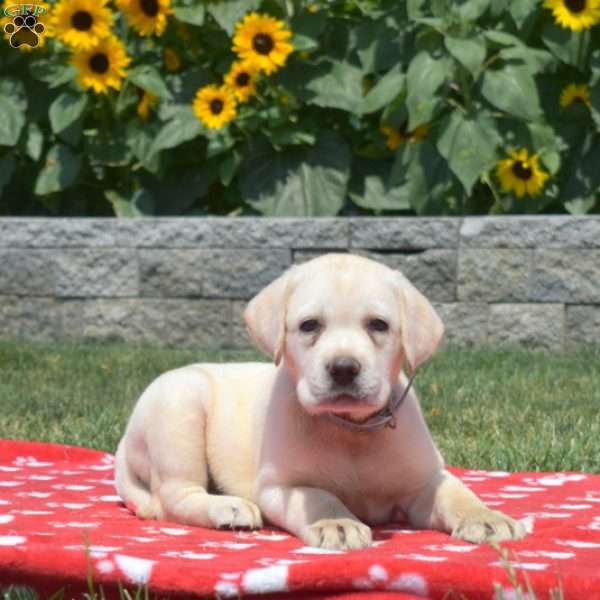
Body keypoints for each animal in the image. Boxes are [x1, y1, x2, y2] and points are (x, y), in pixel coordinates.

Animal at [113, 252, 524, 548]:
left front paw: (486, 518)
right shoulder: (279, 487)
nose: (343, 368)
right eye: (309, 325)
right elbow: (319, 496)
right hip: (179, 406)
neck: (351, 430)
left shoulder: (425, 481)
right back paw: (228, 507)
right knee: (175, 497)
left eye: (378, 324)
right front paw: (337, 523)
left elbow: (456, 493)